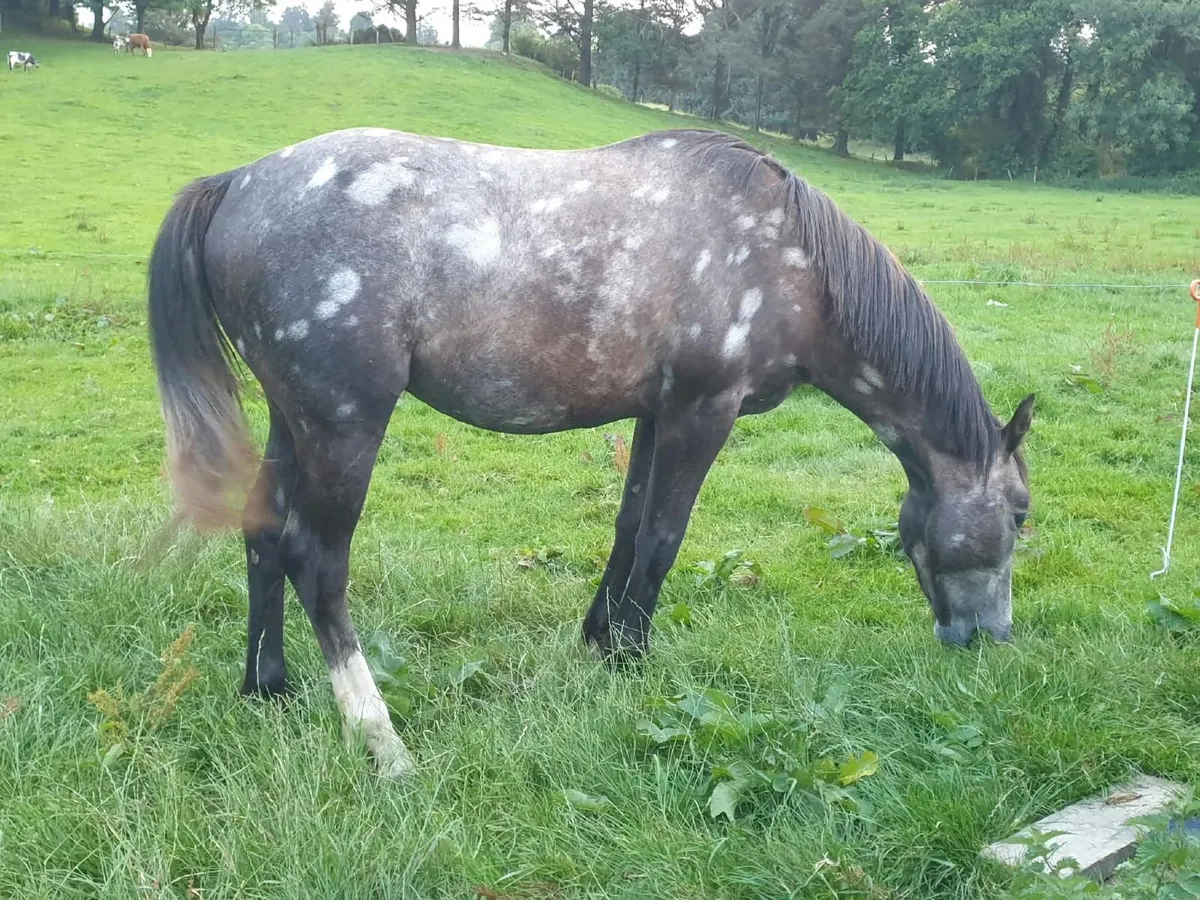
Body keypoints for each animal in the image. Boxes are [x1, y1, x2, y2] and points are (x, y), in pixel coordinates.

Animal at [146, 127, 1035, 776]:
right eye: (1021, 514)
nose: (992, 640)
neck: (791, 261)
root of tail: (238, 182)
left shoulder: (654, 413)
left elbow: (629, 526)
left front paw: (602, 642)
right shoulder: (702, 413)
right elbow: (665, 537)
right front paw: (634, 661)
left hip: (291, 420)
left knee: (264, 535)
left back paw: (267, 690)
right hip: (343, 423)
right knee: (318, 563)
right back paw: (381, 741)